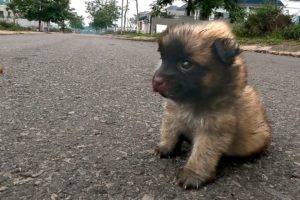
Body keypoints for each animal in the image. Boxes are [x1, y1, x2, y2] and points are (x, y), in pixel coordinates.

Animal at [152, 21, 272, 189]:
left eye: (186, 64)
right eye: (163, 59)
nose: (156, 81)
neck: (193, 101)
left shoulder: (213, 130)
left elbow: (202, 153)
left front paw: (193, 173)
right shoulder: (173, 115)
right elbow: (169, 132)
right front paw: (166, 147)